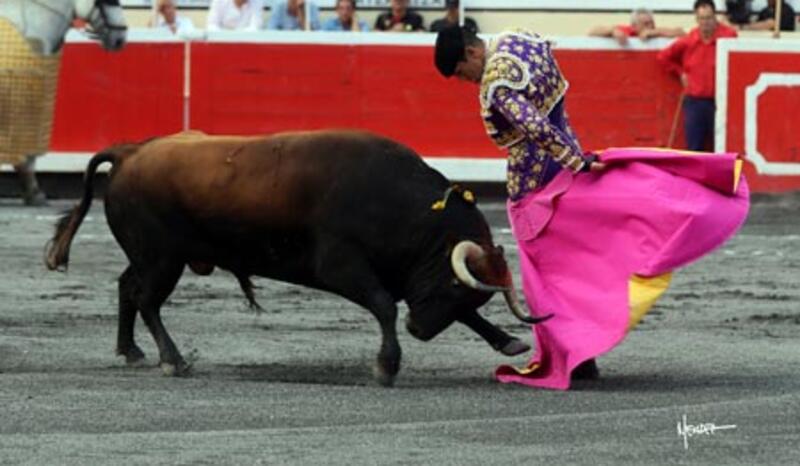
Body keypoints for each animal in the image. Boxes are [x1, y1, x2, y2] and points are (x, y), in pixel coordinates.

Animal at [45, 131, 552, 386]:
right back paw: (173, 360)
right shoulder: (342, 265)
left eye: (469, 297)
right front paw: (386, 365)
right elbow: (384, 306)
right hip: (162, 258)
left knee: (126, 287)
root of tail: (131, 152)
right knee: (148, 299)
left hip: (151, 256)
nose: (419, 331)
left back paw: (130, 350)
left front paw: (509, 341)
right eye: (451, 286)